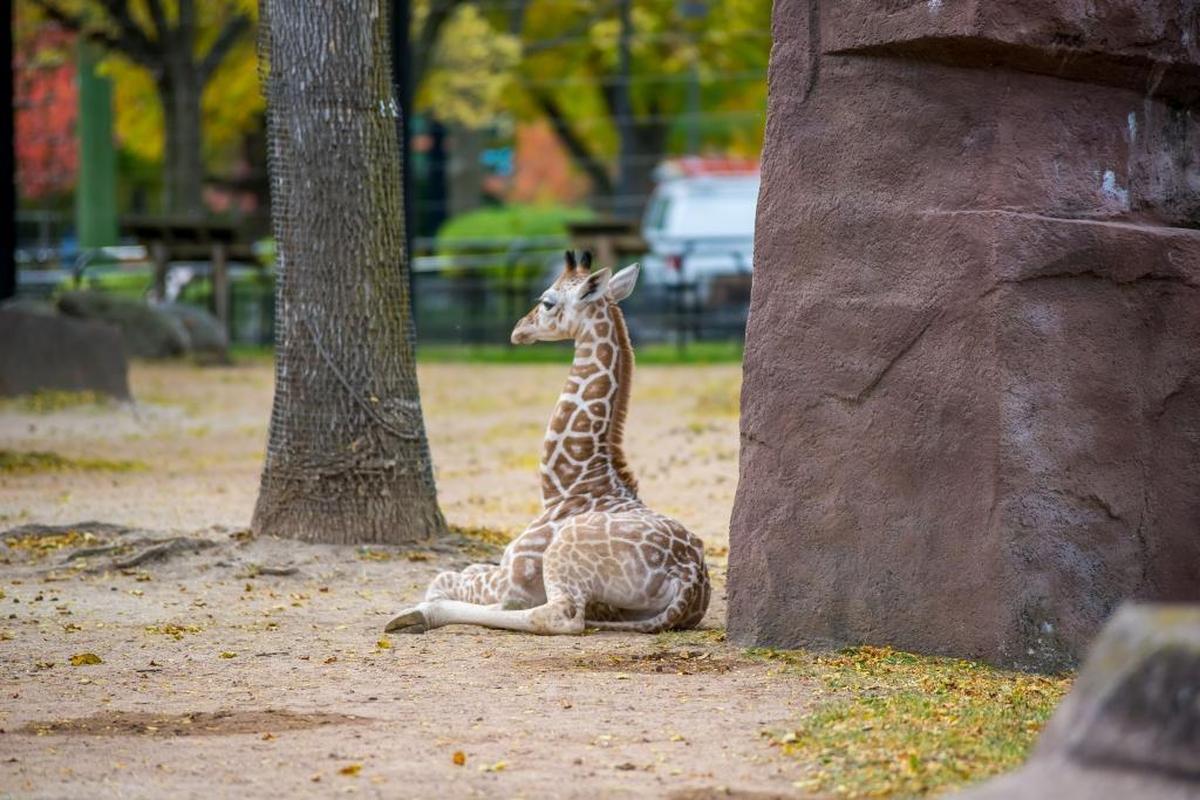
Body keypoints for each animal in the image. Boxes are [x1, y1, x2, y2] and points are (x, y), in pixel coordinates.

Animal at [384, 251, 711, 635]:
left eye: (547, 302)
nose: (518, 330)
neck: (566, 483)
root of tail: (688, 580)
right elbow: (462, 571)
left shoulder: (513, 575)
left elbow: (444, 577)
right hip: (625, 610)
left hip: (562, 555)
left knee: (560, 616)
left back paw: (418, 615)